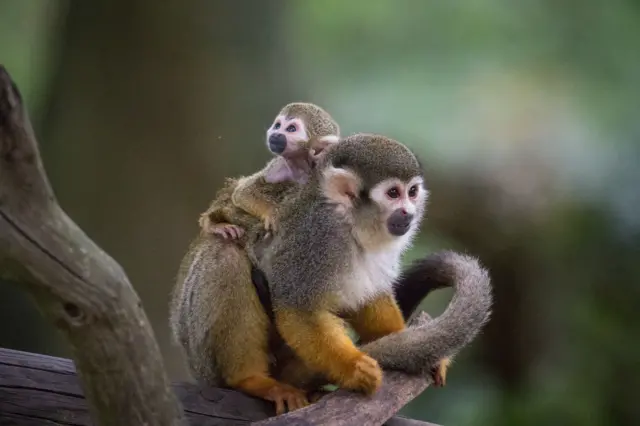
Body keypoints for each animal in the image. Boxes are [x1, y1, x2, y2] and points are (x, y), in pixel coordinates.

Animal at [199, 100, 340, 240]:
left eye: (291, 129)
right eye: (278, 126)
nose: (275, 134)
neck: (301, 166)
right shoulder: (279, 167)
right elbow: (242, 192)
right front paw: (271, 213)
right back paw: (212, 223)